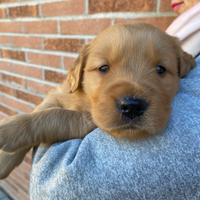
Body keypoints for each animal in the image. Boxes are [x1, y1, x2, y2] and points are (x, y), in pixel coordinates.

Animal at [0, 23, 195, 178]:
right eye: (104, 68)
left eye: (161, 69)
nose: (132, 107)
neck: (85, 100)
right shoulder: (61, 94)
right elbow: (42, 108)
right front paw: (5, 157)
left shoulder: (89, 122)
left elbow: (55, 116)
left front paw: (8, 131)